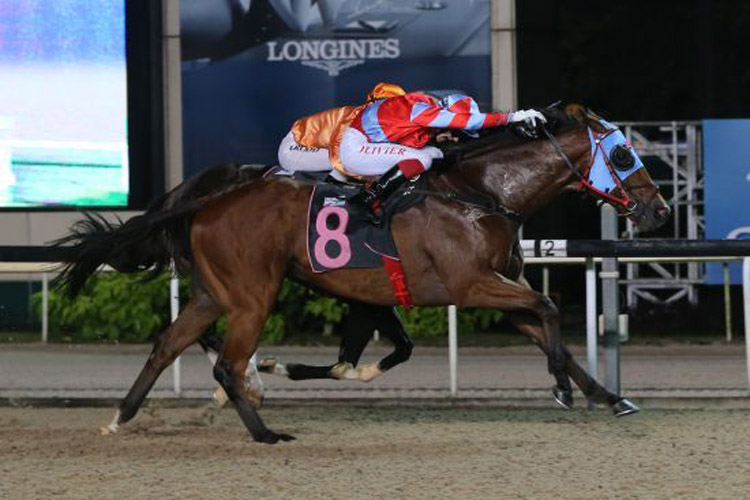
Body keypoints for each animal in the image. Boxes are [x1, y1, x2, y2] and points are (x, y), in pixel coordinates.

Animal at [57, 105, 668, 442]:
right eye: (623, 156)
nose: (660, 211)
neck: (480, 194)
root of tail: (206, 200)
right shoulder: (472, 285)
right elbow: (547, 310)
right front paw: (564, 387)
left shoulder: (492, 287)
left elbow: (542, 326)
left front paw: (609, 396)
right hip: (253, 295)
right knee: (227, 364)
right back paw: (265, 432)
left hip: (212, 293)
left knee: (167, 345)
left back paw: (121, 418)